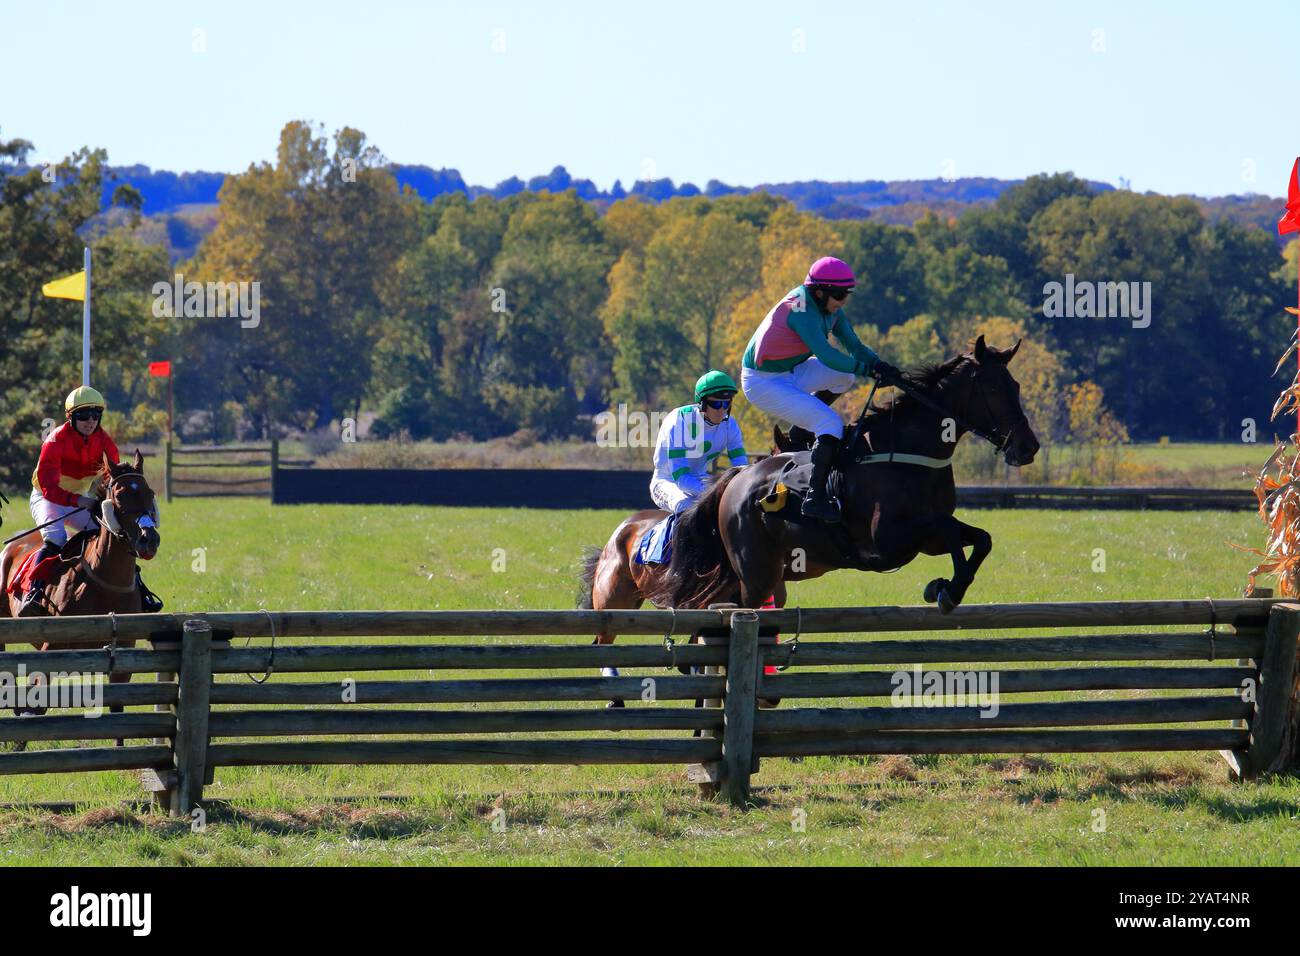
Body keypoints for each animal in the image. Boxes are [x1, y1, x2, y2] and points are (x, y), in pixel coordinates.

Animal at [0, 452, 161, 743]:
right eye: (120, 494)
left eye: (149, 492)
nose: (149, 540)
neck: (107, 582)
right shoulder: (53, 645)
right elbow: (35, 700)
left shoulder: (125, 651)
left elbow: (118, 709)